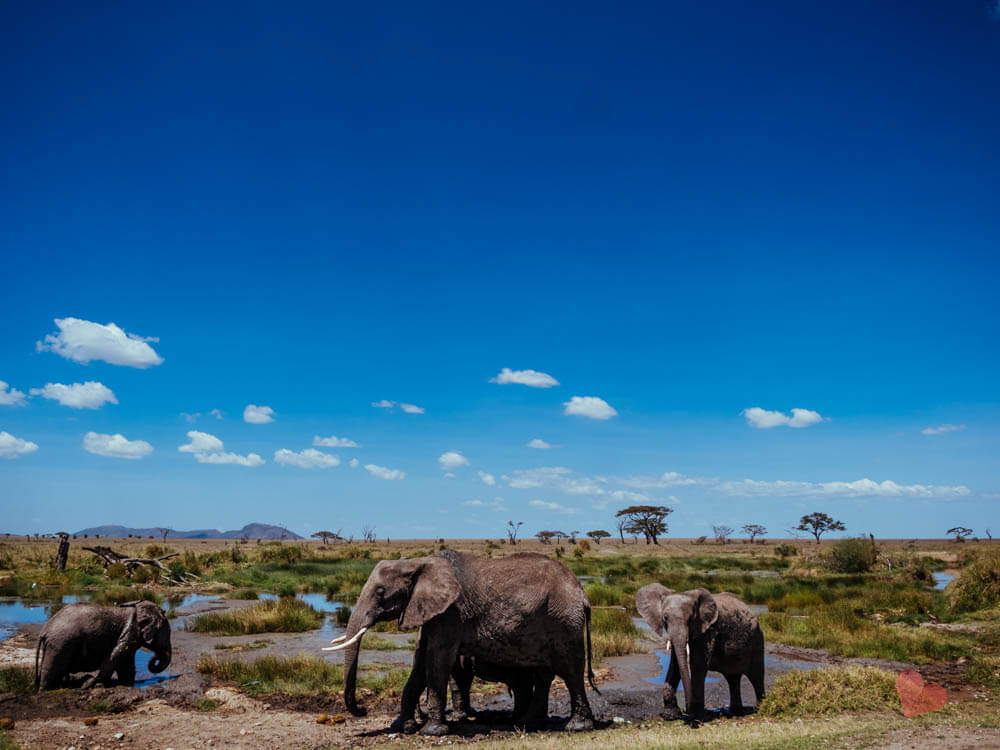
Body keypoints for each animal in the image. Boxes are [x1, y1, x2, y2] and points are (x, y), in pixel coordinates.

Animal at [35, 604, 172, 692]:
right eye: (167, 635)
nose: (155, 657)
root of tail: (44, 631)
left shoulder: (130, 639)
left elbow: (126, 665)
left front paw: (127, 685)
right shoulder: (128, 636)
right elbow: (113, 658)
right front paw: (90, 684)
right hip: (60, 643)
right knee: (52, 668)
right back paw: (46, 691)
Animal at [326, 548, 592, 736]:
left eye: (381, 592)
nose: (362, 710)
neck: (418, 563)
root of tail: (582, 593)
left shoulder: (451, 612)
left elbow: (437, 660)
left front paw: (431, 732)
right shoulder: (430, 611)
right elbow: (419, 663)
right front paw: (402, 727)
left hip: (564, 621)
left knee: (570, 670)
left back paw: (577, 727)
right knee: (543, 674)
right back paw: (527, 724)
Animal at [632, 584, 764, 720]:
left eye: (691, 619)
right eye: (665, 618)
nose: (685, 709)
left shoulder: (708, 630)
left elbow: (697, 664)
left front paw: (696, 715)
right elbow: (675, 665)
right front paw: (670, 715)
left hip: (757, 641)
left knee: (756, 677)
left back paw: (761, 709)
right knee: (733, 678)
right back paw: (736, 712)